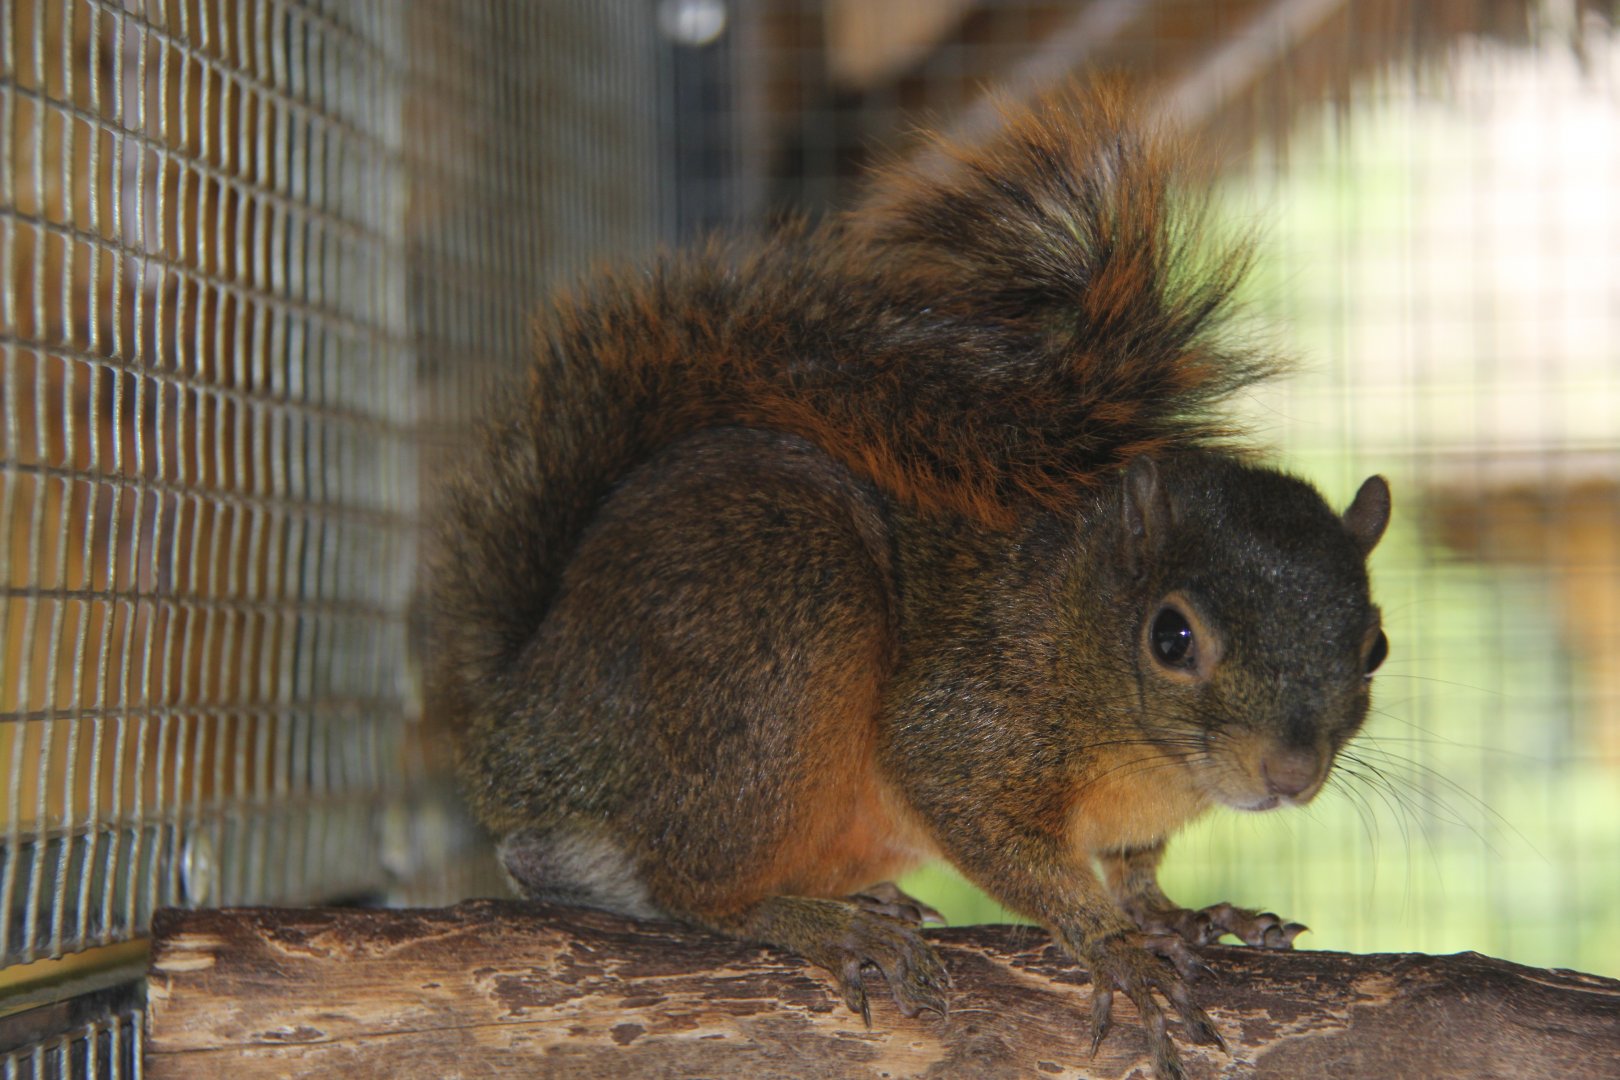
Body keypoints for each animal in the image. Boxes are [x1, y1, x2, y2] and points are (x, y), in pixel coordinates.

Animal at [430, 85, 1391, 1080]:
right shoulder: (965, 717)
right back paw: (821, 923)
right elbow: (997, 836)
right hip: (779, 621)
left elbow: (1136, 872)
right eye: (1171, 636)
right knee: (686, 885)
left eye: (1376, 649)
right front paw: (1113, 946)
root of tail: (520, 713)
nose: (1291, 771)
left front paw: (1182, 917)